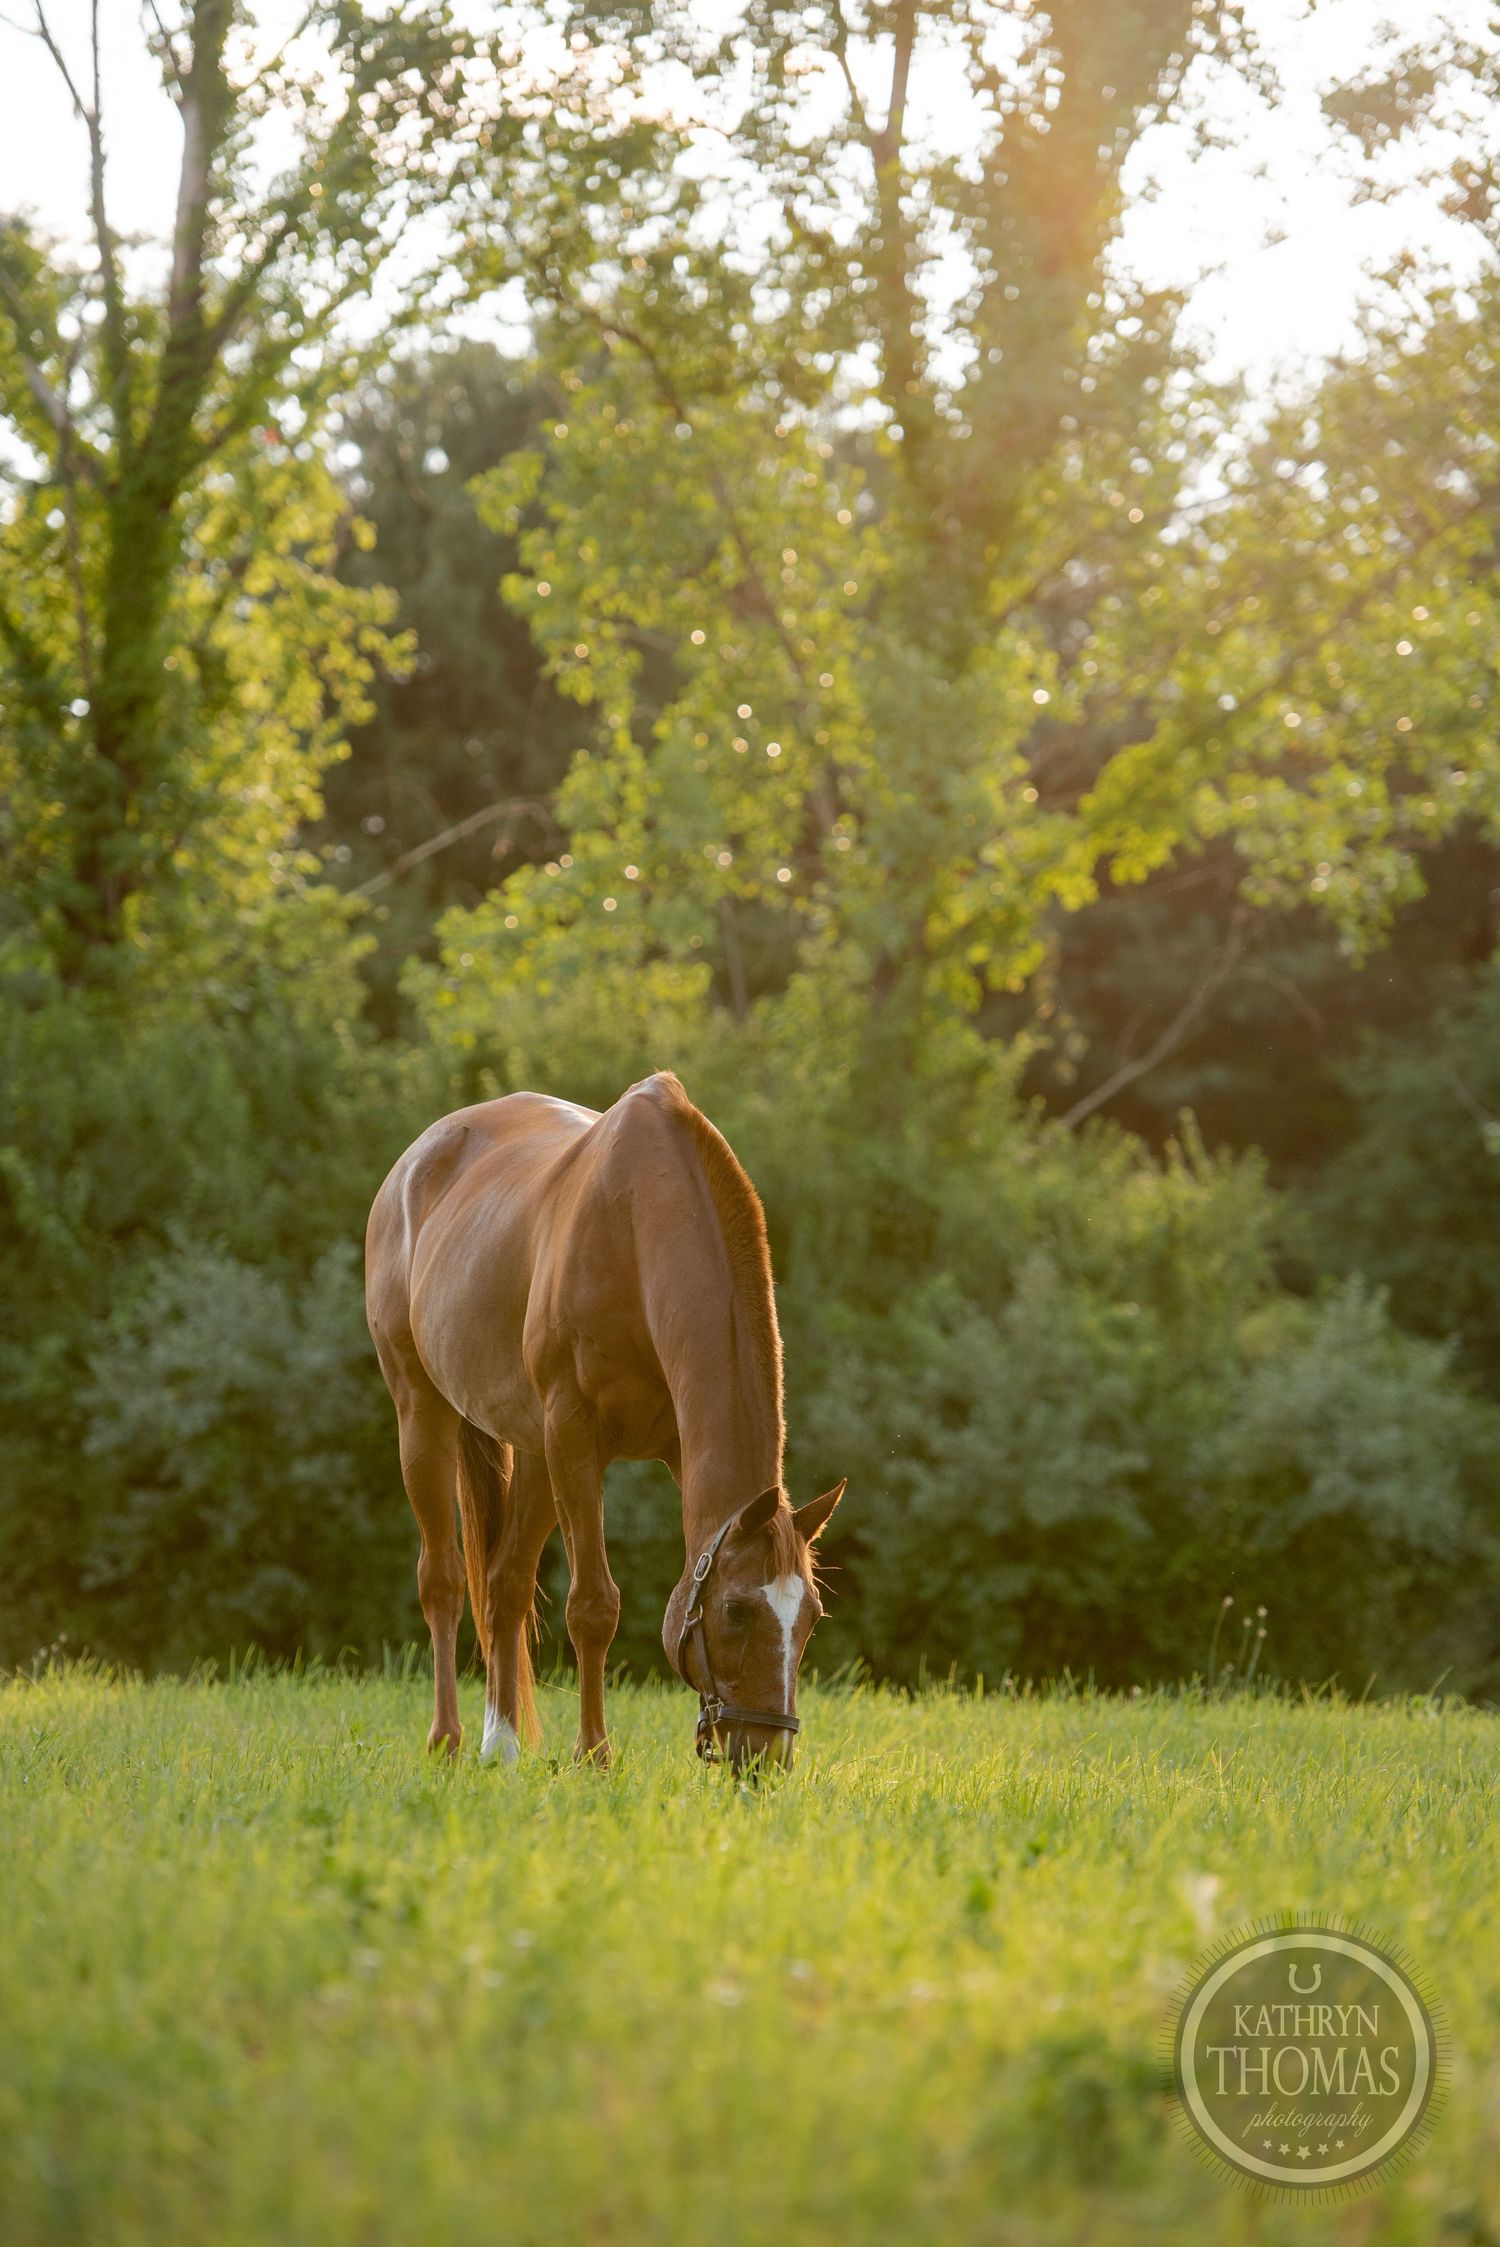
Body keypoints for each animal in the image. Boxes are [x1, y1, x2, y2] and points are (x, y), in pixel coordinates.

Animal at [364, 1070, 845, 1771]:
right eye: (735, 1610)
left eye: (808, 1615)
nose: (765, 1757)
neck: (637, 1232)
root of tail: (414, 1161)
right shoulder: (575, 1437)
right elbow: (594, 1604)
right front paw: (594, 1754)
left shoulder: (667, 1449)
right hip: (423, 1416)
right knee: (444, 1582)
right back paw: (447, 1740)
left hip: (535, 1452)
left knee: (505, 1586)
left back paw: (500, 1744)